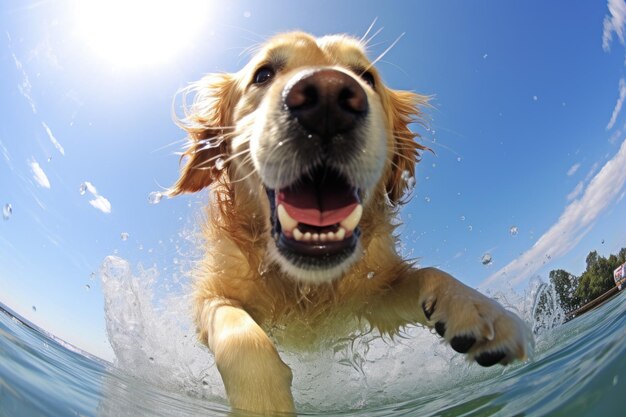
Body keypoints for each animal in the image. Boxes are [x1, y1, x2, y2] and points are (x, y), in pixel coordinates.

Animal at [171, 31, 532, 412]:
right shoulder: (213, 295)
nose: (328, 97)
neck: (304, 283)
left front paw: (481, 310)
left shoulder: (374, 293)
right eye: (263, 74)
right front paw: (264, 399)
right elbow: (238, 332)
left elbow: (427, 273)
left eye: (366, 76)